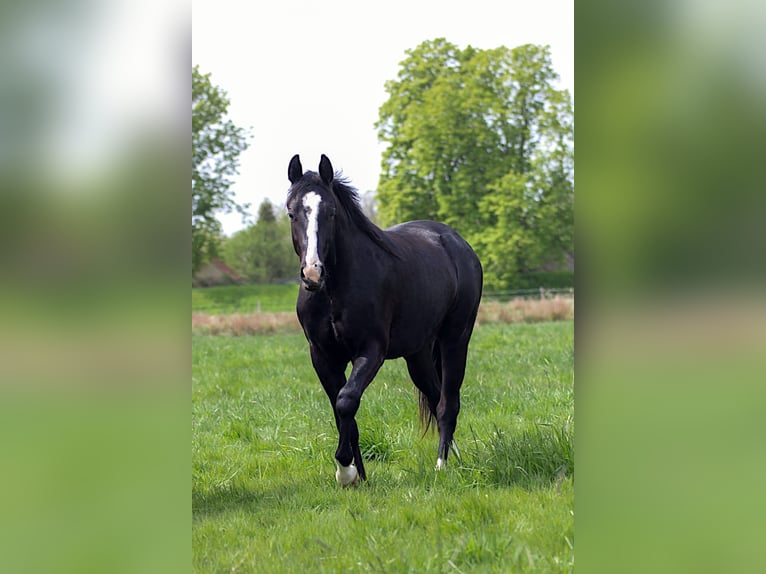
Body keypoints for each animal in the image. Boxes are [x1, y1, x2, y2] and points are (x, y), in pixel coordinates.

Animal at [286, 154, 483, 486]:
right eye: (291, 211)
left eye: (331, 212)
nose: (312, 272)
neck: (334, 291)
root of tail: (457, 243)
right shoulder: (323, 356)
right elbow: (341, 411)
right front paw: (358, 476)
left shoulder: (371, 351)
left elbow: (346, 401)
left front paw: (345, 470)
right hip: (418, 355)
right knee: (434, 396)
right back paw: (455, 458)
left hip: (455, 340)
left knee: (448, 403)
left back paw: (442, 465)